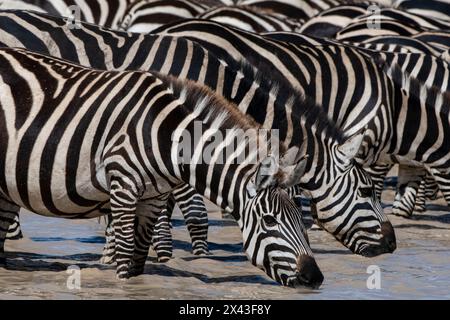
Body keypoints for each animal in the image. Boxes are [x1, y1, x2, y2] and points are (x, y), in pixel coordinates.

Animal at [0, 10, 396, 260]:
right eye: (366, 192)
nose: (392, 245)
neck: (212, 80)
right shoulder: (179, 141)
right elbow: (192, 212)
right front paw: (183, 258)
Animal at [0, 45, 326, 288]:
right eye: (269, 221)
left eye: (301, 218)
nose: (315, 278)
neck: (165, 137)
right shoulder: (122, 187)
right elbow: (124, 255)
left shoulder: (154, 197)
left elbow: (139, 258)